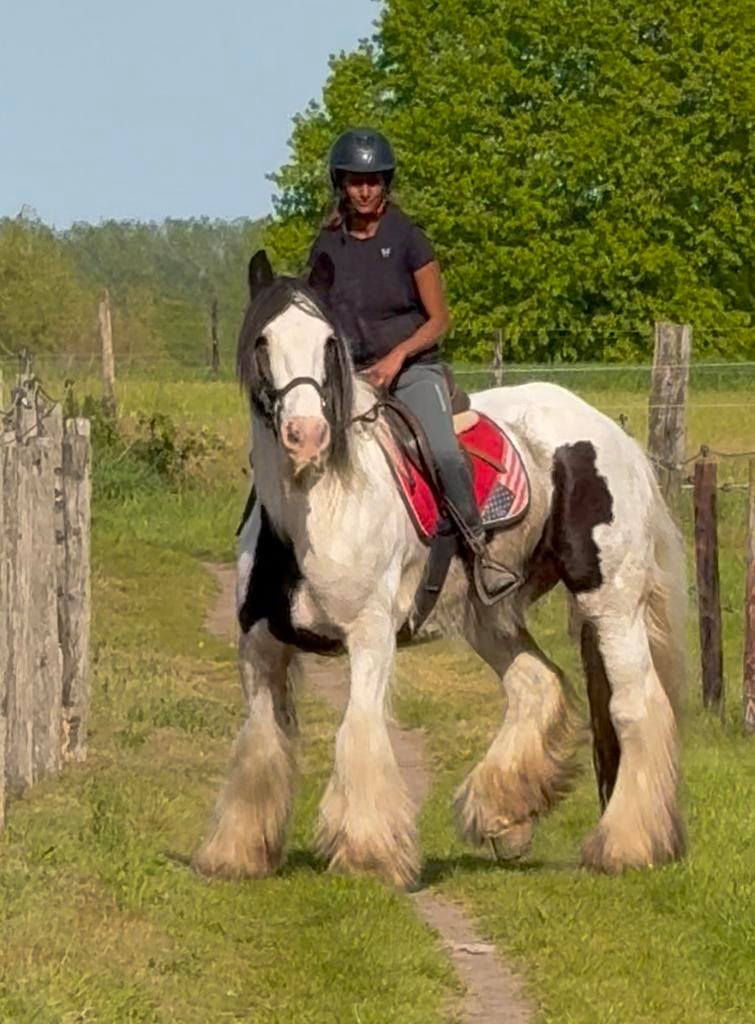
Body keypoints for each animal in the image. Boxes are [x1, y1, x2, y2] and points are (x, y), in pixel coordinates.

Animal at [194, 249, 686, 889]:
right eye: (262, 341)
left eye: (328, 343)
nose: (307, 436)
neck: (313, 511)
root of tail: (616, 438)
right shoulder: (258, 645)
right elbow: (260, 742)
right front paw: (237, 852)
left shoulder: (370, 635)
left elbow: (358, 730)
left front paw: (367, 853)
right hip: (489, 613)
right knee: (535, 686)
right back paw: (502, 814)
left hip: (611, 601)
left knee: (637, 706)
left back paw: (627, 845)